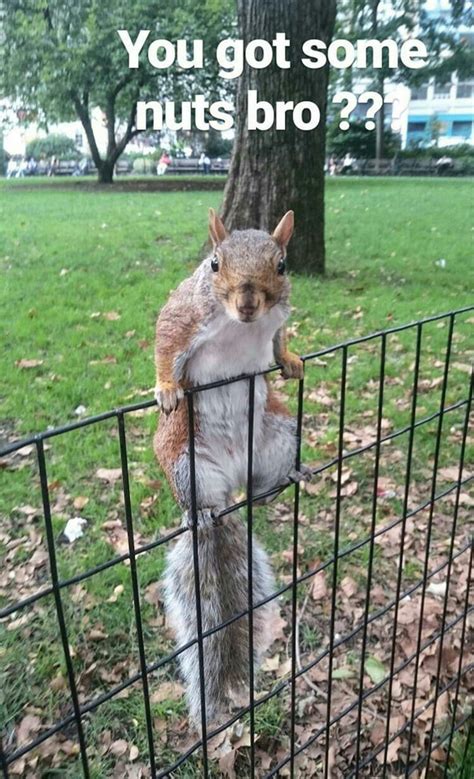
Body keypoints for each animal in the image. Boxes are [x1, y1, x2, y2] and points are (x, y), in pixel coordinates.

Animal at [154, 209, 310, 732]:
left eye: (282, 266)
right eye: (214, 263)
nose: (247, 303)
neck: (241, 327)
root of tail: (229, 487)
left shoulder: (280, 315)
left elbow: (279, 339)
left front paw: (290, 360)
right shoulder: (185, 315)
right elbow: (165, 341)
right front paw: (165, 387)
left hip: (280, 432)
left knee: (260, 490)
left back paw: (283, 481)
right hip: (185, 460)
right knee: (200, 499)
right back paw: (199, 513)